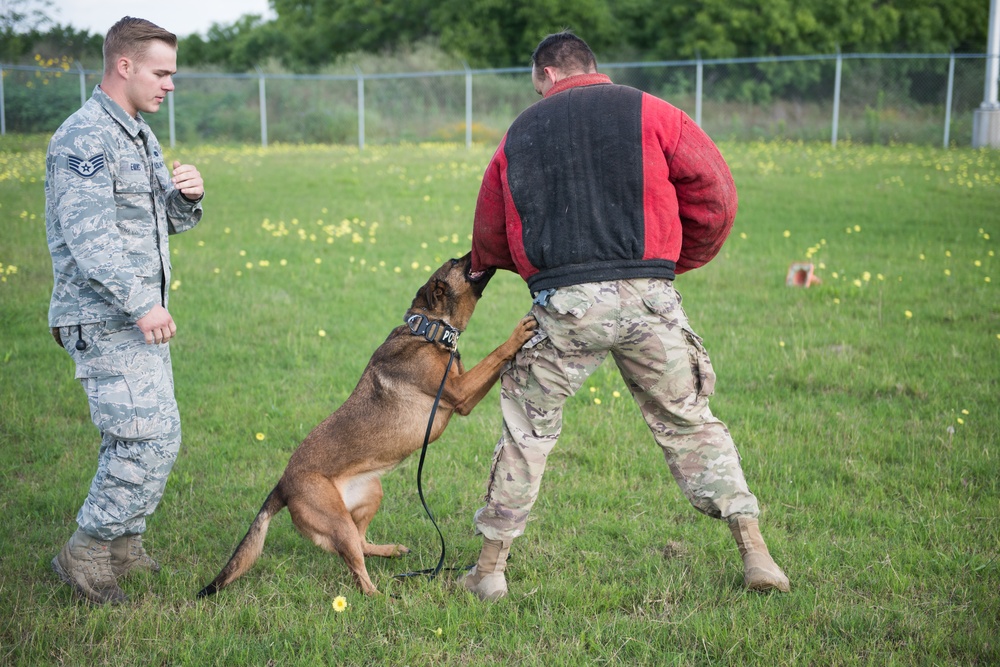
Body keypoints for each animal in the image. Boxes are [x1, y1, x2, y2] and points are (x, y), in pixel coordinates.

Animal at [197, 253, 540, 596]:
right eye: (457, 261)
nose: (474, 251)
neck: (427, 330)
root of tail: (282, 485)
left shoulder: (463, 399)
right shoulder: (459, 391)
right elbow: (495, 354)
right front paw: (517, 334)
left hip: (371, 492)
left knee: (362, 544)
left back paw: (390, 551)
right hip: (338, 523)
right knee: (359, 573)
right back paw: (381, 598)